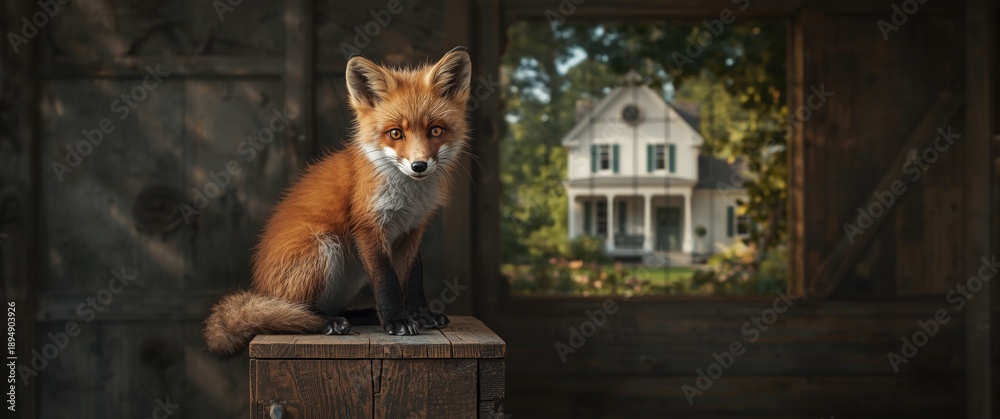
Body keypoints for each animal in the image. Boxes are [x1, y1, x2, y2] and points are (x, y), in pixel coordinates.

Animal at [202, 47, 473, 358]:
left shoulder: (412, 229)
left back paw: (363, 315)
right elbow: (387, 280)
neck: (409, 197)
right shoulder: (368, 227)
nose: (419, 166)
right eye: (395, 133)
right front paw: (396, 320)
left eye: (436, 131)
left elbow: (413, 279)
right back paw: (327, 322)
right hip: (322, 248)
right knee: (288, 315)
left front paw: (421, 315)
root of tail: (260, 288)